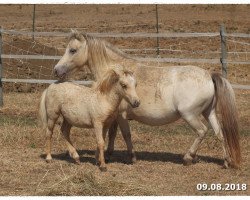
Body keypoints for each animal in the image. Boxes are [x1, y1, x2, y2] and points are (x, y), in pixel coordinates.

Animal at [53, 30, 241, 169]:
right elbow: (112, 134)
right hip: (209, 112)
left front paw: (131, 157)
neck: (116, 74)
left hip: (190, 115)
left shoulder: (121, 116)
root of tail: (209, 76)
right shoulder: (113, 115)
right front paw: (108, 153)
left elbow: (125, 135)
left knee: (202, 131)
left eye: (72, 50)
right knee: (219, 133)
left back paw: (188, 158)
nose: (56, 70)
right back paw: (226, 162)